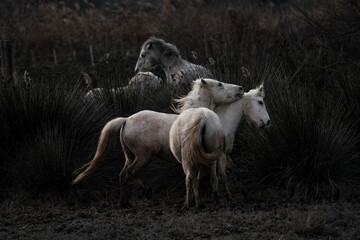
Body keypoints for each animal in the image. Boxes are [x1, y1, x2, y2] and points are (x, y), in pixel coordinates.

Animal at [71, 78, 243, 206]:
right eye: (219, 84)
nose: (240, 89)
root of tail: (126, 120)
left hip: (130, 156)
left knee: (123, 175)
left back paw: (125, 203)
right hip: (144, 157)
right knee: (132, 172)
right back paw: (147, 192)